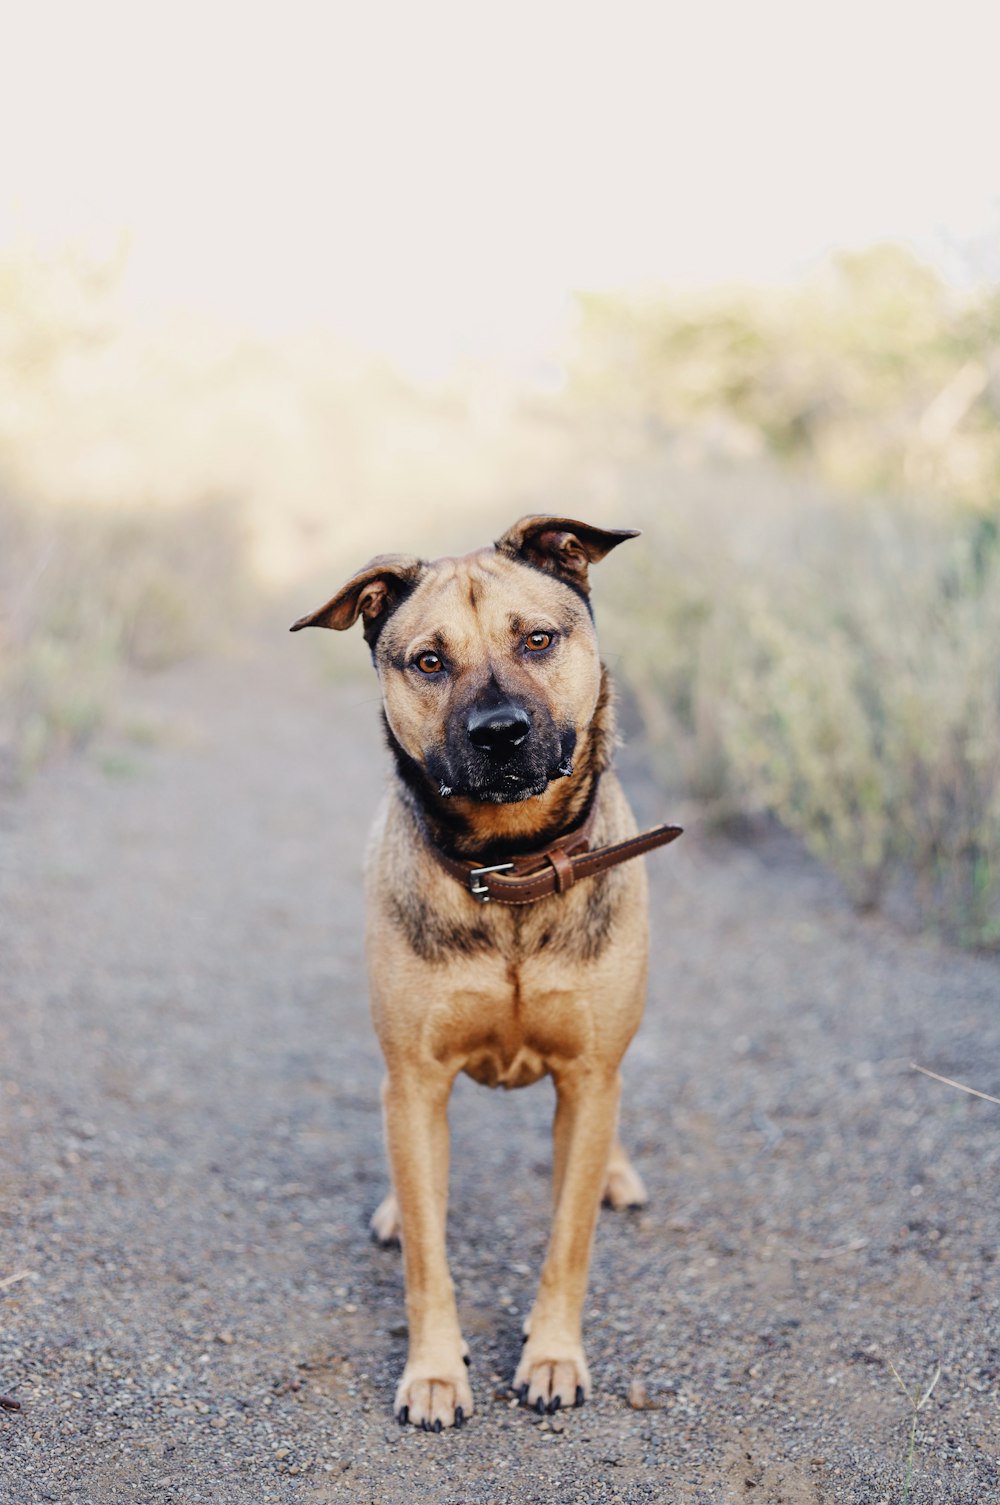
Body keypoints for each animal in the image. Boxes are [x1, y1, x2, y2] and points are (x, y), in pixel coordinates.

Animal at [289, 517, 680, 1432]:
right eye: (429, 660)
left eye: (537, 639)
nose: (498, 731)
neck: (511, 868)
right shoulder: (418, 1077)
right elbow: (429, 1258)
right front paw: (433, 1372)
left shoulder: (587, 1075)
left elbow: (567, 1239)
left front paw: (552, 1357)